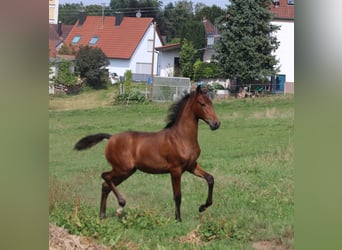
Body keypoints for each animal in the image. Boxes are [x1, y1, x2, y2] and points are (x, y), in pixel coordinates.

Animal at [73, 85, 220, 221]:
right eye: (202, 103)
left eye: (211, 103)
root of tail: (111, 137)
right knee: (105, 176)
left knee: (105, 185)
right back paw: (121, 202)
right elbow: (177, 196)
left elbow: (210, 179)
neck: (181, 137)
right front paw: (178, 219)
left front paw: (202, 207)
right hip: (123, 169)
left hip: (127, 171)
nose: (216, 124)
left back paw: (102, 215)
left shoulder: (191, 166)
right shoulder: (176, 170)